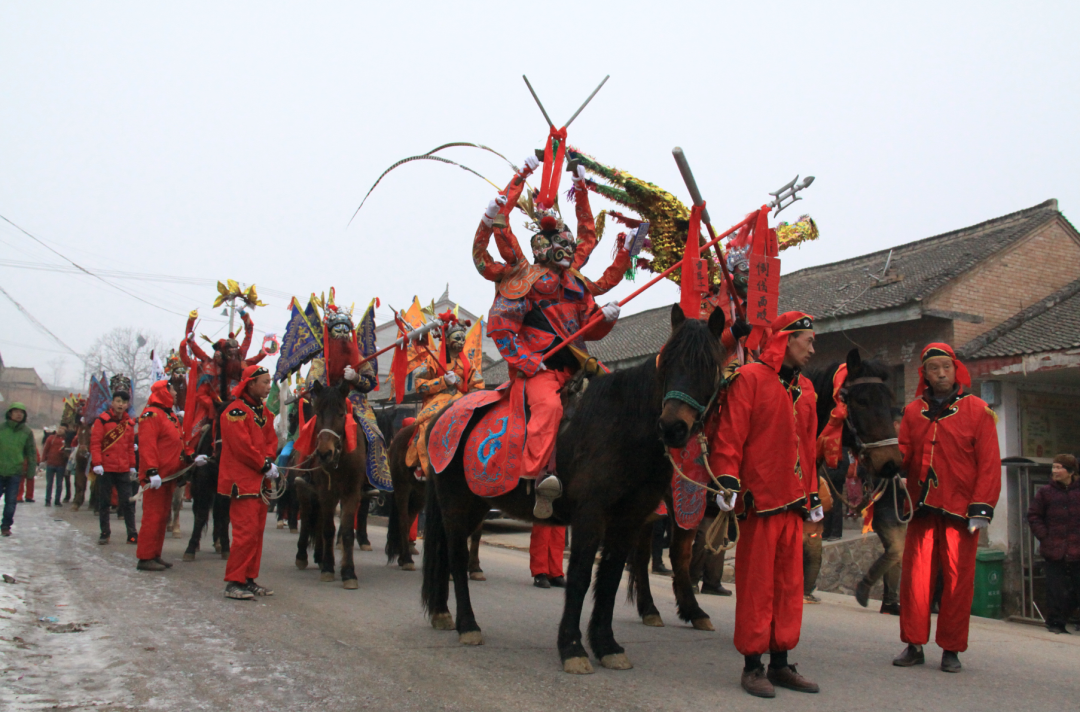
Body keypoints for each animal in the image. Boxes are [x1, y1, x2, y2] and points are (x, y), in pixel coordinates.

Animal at [421, 306, 725, 674]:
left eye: (710, 366)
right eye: (667, 361)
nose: (672, 428)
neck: (624, 424)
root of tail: (442, 416)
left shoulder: (629, 519)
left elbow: (609, 577)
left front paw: (606, 645)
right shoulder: (591, 515)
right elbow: (580, 576)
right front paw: (572, 647)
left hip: (476, 502)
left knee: (443, 551)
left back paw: (442, 613)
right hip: (455, 502)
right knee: (455, 555)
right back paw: (468, 624)